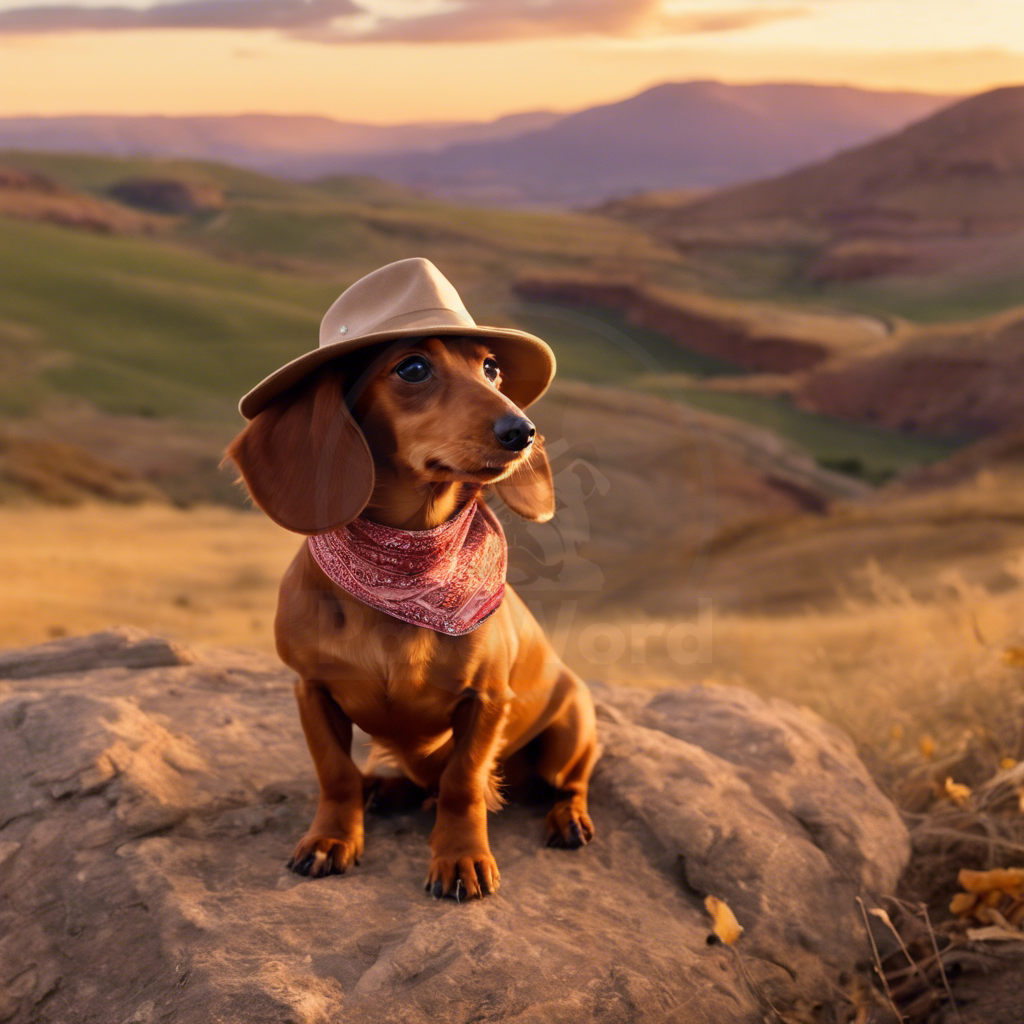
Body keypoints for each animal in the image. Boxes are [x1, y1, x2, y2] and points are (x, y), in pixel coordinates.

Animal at [230, 335, 598, 897]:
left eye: (491, 368)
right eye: (412, 367)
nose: (522, 432)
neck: (402, 572)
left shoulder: (487, 701)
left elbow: (463, 782)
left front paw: (462, 856)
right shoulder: (311, 689)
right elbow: (335, 773)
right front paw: (330, 839)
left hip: (571, 733)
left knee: (571, 783)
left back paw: (569, 818)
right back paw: (384, 789)